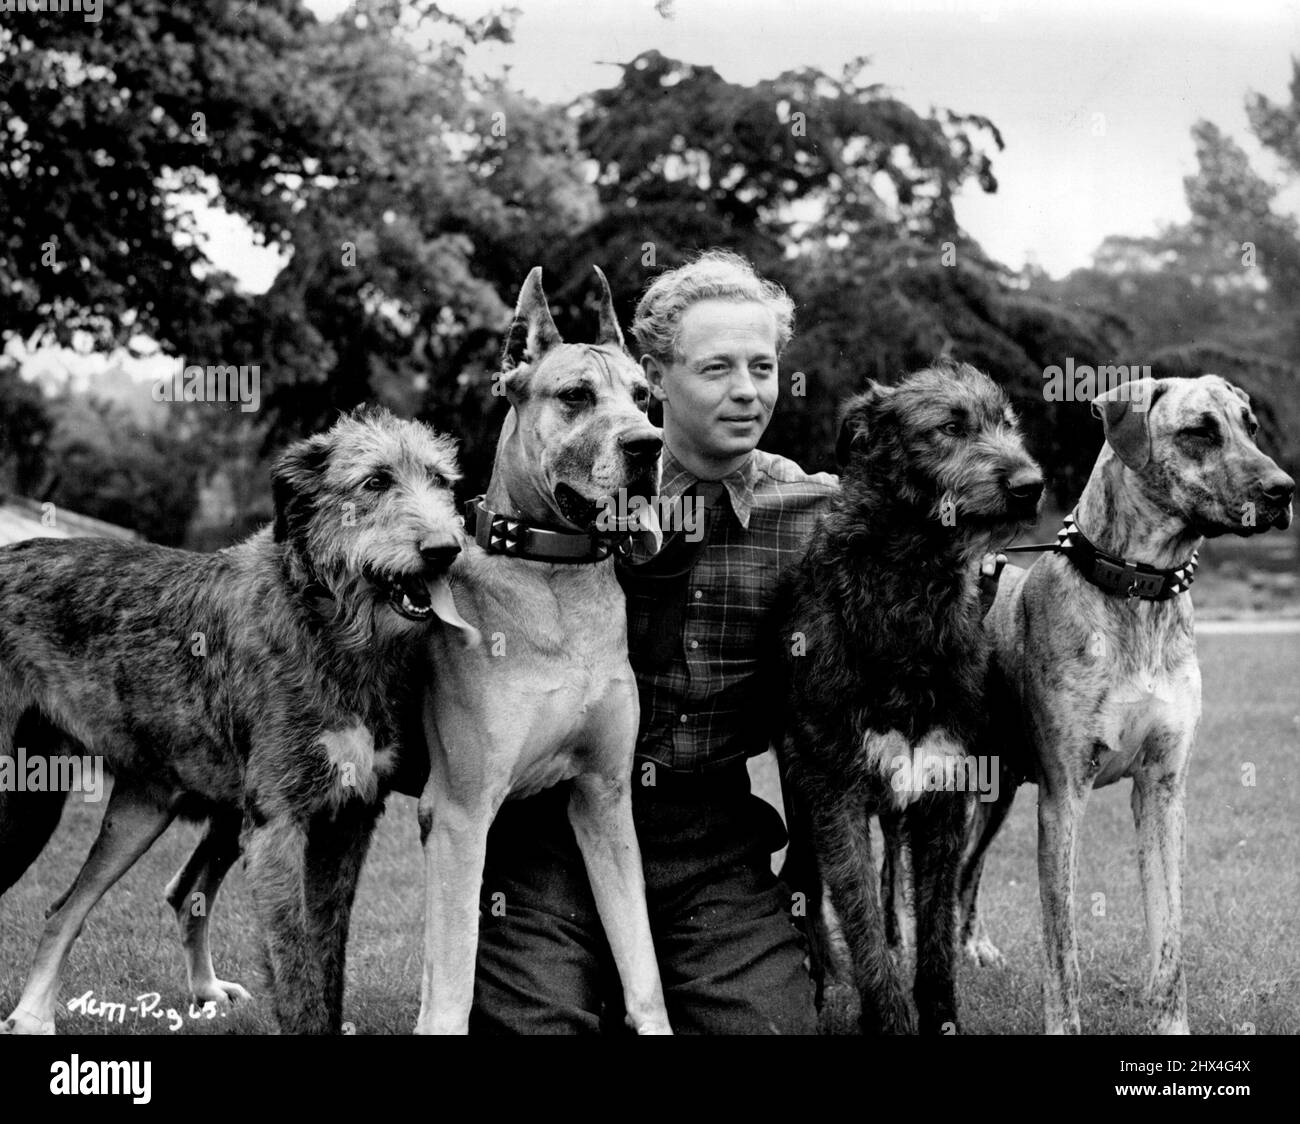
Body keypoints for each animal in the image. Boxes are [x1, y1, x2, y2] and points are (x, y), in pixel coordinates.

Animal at [0, 408, 478, 1029]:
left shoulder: (348, 821)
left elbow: (327, 959)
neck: (328, 623)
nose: (446, 548)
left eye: (442, 480)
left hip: (139, 809)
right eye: (375, 482)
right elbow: (297, 971)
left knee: (89, 904)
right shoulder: (278, 826)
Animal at [769, 363, 1045, 1029]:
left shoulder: (945, 789)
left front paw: (940, 1015)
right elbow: (862, 923)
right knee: (804, 880)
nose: (1032, 486)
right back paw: (820, 975)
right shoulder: (834, 793)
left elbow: (937, 929)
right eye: (949, 427)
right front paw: (886, 1015)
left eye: (1008, 423)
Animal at [956, 371, 1289, 1029]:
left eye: (1251, 427)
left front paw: (1171, 1023)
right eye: (1199, 432)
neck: (1138, 587)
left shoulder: (1162, 789)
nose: (1284, 490)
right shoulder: (1063, 797)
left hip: (996, 788)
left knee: (968, 870)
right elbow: (1064, 952)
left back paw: (973, 946)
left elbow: (1170, 943)